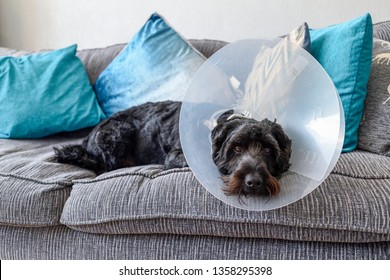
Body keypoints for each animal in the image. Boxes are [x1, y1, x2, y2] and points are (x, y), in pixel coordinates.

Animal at [56, 100, 290, 197]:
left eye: (268, 149)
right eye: (238, 148)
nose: (254, 182)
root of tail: (87, 138)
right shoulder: (175, 155)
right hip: (117, 133)